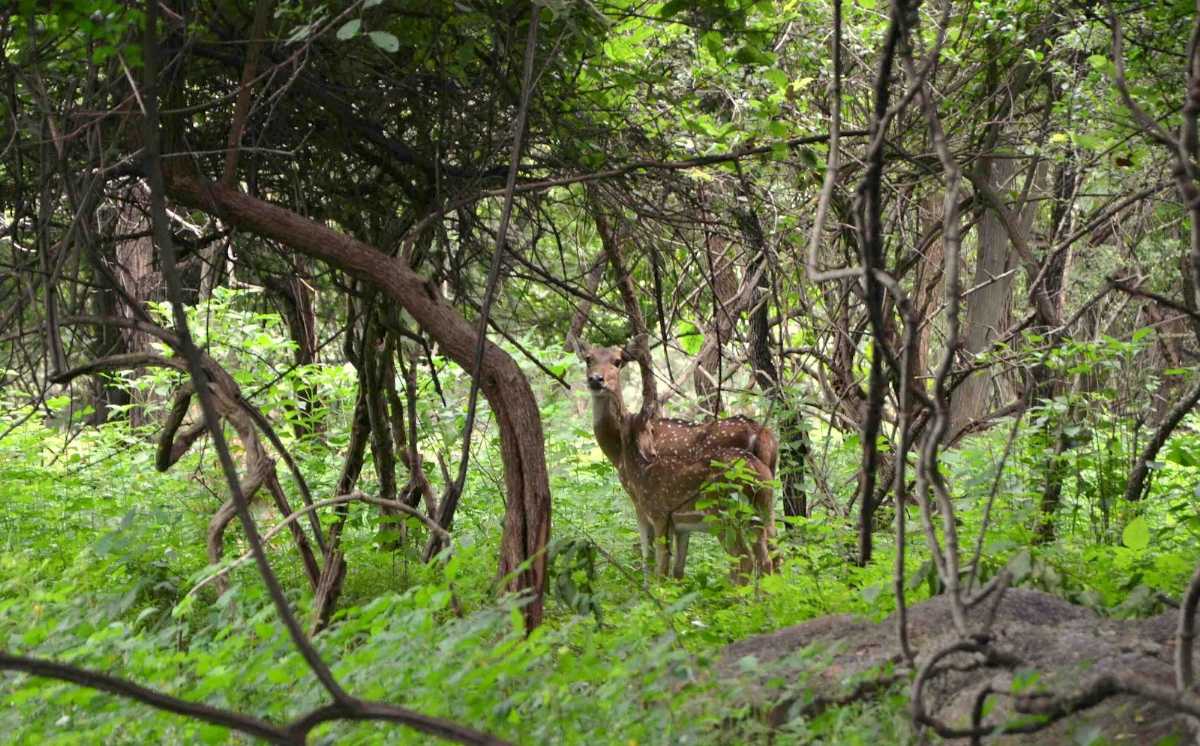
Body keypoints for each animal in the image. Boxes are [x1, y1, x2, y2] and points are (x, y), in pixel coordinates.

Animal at [578, 343, 777, 582]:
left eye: (617, 361)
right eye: (588, 359)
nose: (596, 379)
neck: (617, 453)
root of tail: (765, 434)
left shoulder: (642, 501)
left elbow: (650, 556)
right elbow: (678, 565)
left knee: (743, 558)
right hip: (765, 501)